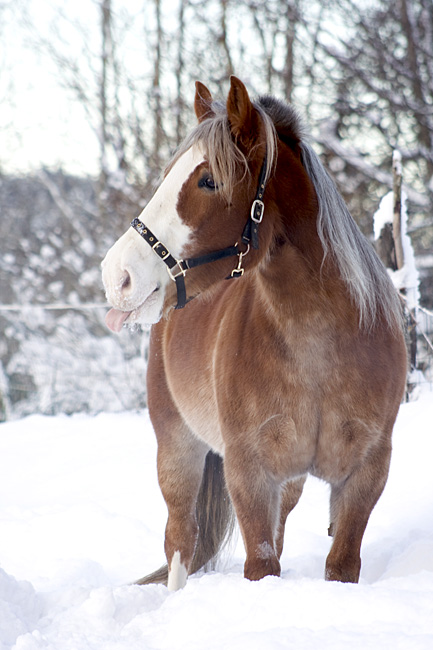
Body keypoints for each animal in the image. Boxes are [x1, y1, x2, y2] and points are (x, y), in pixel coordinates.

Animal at [103, 74, 406, 588]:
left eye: (209, 180)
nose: (116, 275)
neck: (318, 344)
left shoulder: (364, 475)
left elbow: (339, 564)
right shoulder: (249, 472)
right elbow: (260, 565)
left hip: (290, 482)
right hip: (177, 448)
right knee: (181, 539)